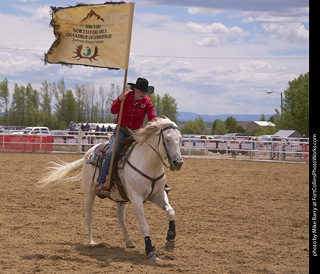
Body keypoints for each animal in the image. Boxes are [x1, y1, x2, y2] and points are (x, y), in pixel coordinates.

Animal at [37, 116, 182, 260]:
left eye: (180, 140)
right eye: (167, 139)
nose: (178, 163)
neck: (149, 164)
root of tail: (88, 153)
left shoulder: (158, 195)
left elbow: (171, 212)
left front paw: (170, 240)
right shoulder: (136, 199)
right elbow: (144, 226)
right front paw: (150, 250)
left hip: (121, 198)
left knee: (120, 218)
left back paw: (129, 241)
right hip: (89, 193)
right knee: (89, 216)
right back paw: (91, 242)